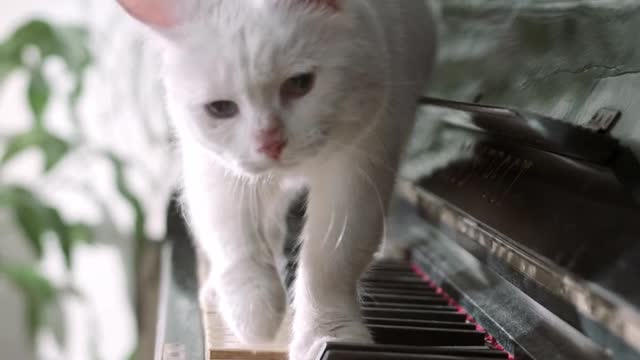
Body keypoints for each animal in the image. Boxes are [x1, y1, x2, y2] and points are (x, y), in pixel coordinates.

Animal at [115, 0, 438, 358]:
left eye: (300, 83)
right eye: (221, 109)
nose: (270, 142)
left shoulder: (359, 168)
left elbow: (331, 264)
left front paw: (329, 335)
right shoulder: (215, 170)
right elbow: (236, 241)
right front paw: (255, 316)